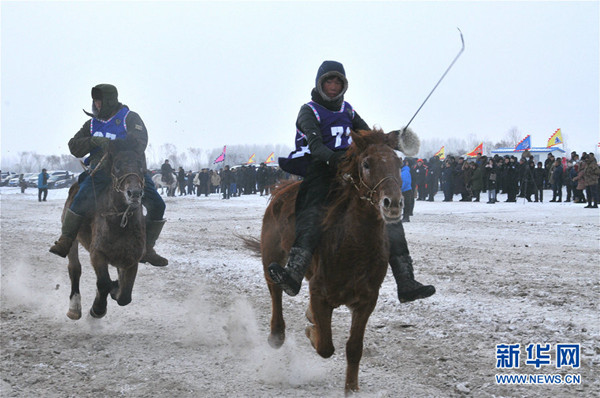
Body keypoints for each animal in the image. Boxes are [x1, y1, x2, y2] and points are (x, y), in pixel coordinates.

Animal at [63, 141, 146, 320]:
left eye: (141, 165)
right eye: (117, 166)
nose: (134, 193)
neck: (120, 222)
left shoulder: (132, 259)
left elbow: (125, 296)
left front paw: (116, 290)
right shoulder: (98, 254)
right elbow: (103, 283)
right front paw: (98, 309)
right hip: (72, 239)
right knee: (74, 268)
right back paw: (74, 308)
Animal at [262, 130, 406, 392]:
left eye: (399, 162)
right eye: (366, 163)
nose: (393, 203)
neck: (353, 246)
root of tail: (281, 191)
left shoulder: (366, 300)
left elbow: (354, 348)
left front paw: (352, 388)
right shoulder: (319, 293)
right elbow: (325, 346)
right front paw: (312, 331)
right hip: (271, 255)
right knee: (275, 290)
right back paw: (277, 334)